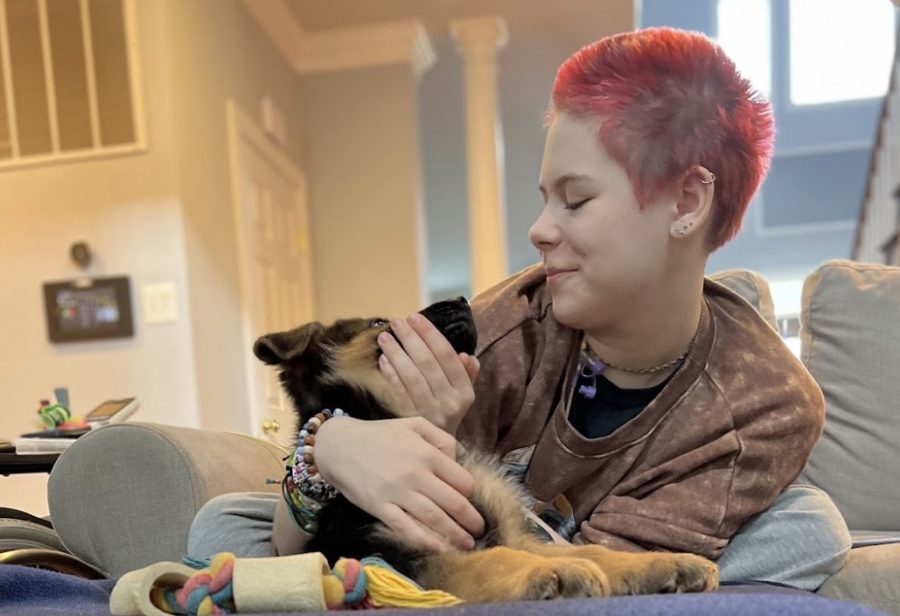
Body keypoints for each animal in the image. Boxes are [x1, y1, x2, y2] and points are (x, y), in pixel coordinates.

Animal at [253, 298, 716, 600]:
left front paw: (662, 563)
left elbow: (595, 549)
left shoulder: (512, 533)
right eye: (379, 322)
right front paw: (555, 570)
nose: (461, 298)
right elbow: (492, 560)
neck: (387, 419)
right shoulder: (400, 552)